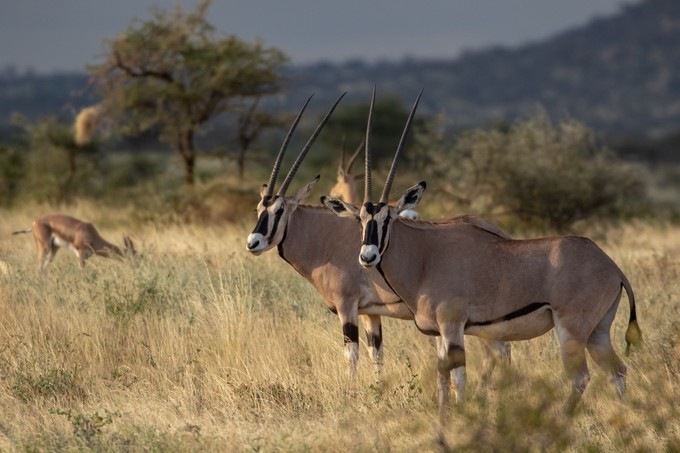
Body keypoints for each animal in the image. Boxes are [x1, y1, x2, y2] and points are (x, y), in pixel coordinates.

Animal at [244, 92, 510, 382]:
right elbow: (377, 354)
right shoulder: (370, 313)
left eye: (279, 210)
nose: (253, 242)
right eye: (258, 208)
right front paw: (378, 387)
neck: (326, 239)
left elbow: (352, 354)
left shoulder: (347, 306)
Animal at [324, 89, 644, 420]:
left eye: (388, 218)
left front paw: (461, 415)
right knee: (617, 371)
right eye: (360, 219)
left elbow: (459, 376)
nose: (368, 256)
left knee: (581, 377)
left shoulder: (453, 327)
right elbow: (443, 379)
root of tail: (612, 267)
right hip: (598, 332)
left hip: (571, 330)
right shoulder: (440, 333)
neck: (424, 257)